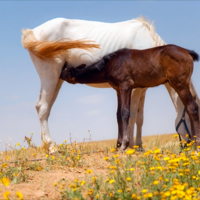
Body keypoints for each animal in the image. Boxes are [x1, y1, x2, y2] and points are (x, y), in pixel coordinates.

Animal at [60, 44, 199, 150]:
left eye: (66, 71)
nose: (59, 74)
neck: (110, 64)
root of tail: (187, 51)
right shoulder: (118, 90)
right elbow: (118, 115)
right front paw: (118, 144)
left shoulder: (126, 86)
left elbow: (125, 113)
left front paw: (124, 144)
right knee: (189, 108)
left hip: (179, 84)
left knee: (192, 107)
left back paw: (197, 144)